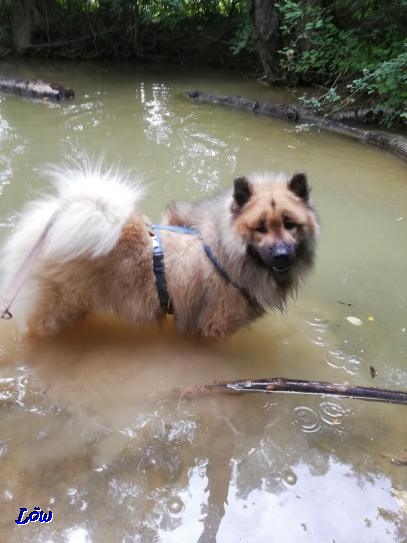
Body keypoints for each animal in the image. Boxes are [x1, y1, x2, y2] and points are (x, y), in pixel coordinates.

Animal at [0, 164, 318, 338]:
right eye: (260, 228)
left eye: (290, 224)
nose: (282, 255)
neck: (224, 251)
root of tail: (54, 220)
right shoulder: (215, 328)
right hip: (56, 310)